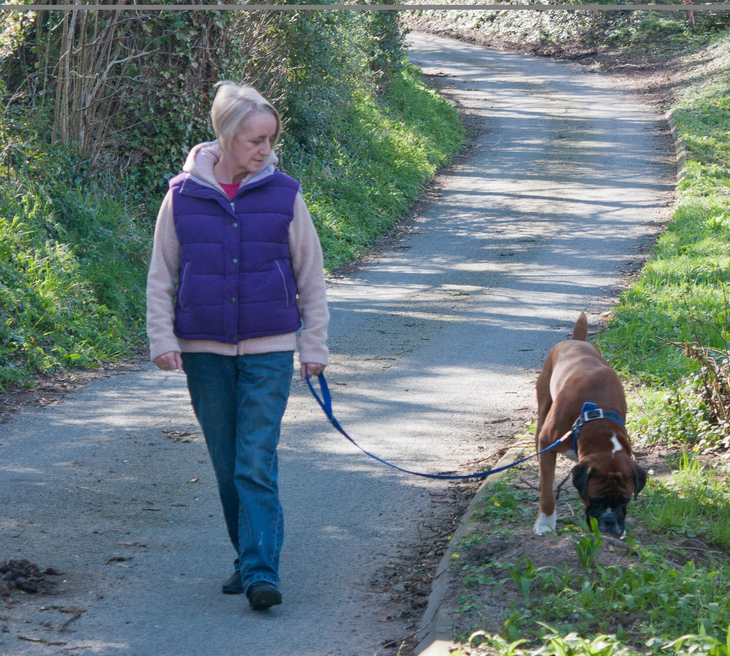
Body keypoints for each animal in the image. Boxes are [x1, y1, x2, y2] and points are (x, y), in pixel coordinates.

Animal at [532, 314, 644, 540]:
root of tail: (576, 341)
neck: (597, 418)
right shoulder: (547, 443)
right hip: (543, 406)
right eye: (596, 499)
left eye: (625, 500)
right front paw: (545, 523)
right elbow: (547, 492)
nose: (610, 521)